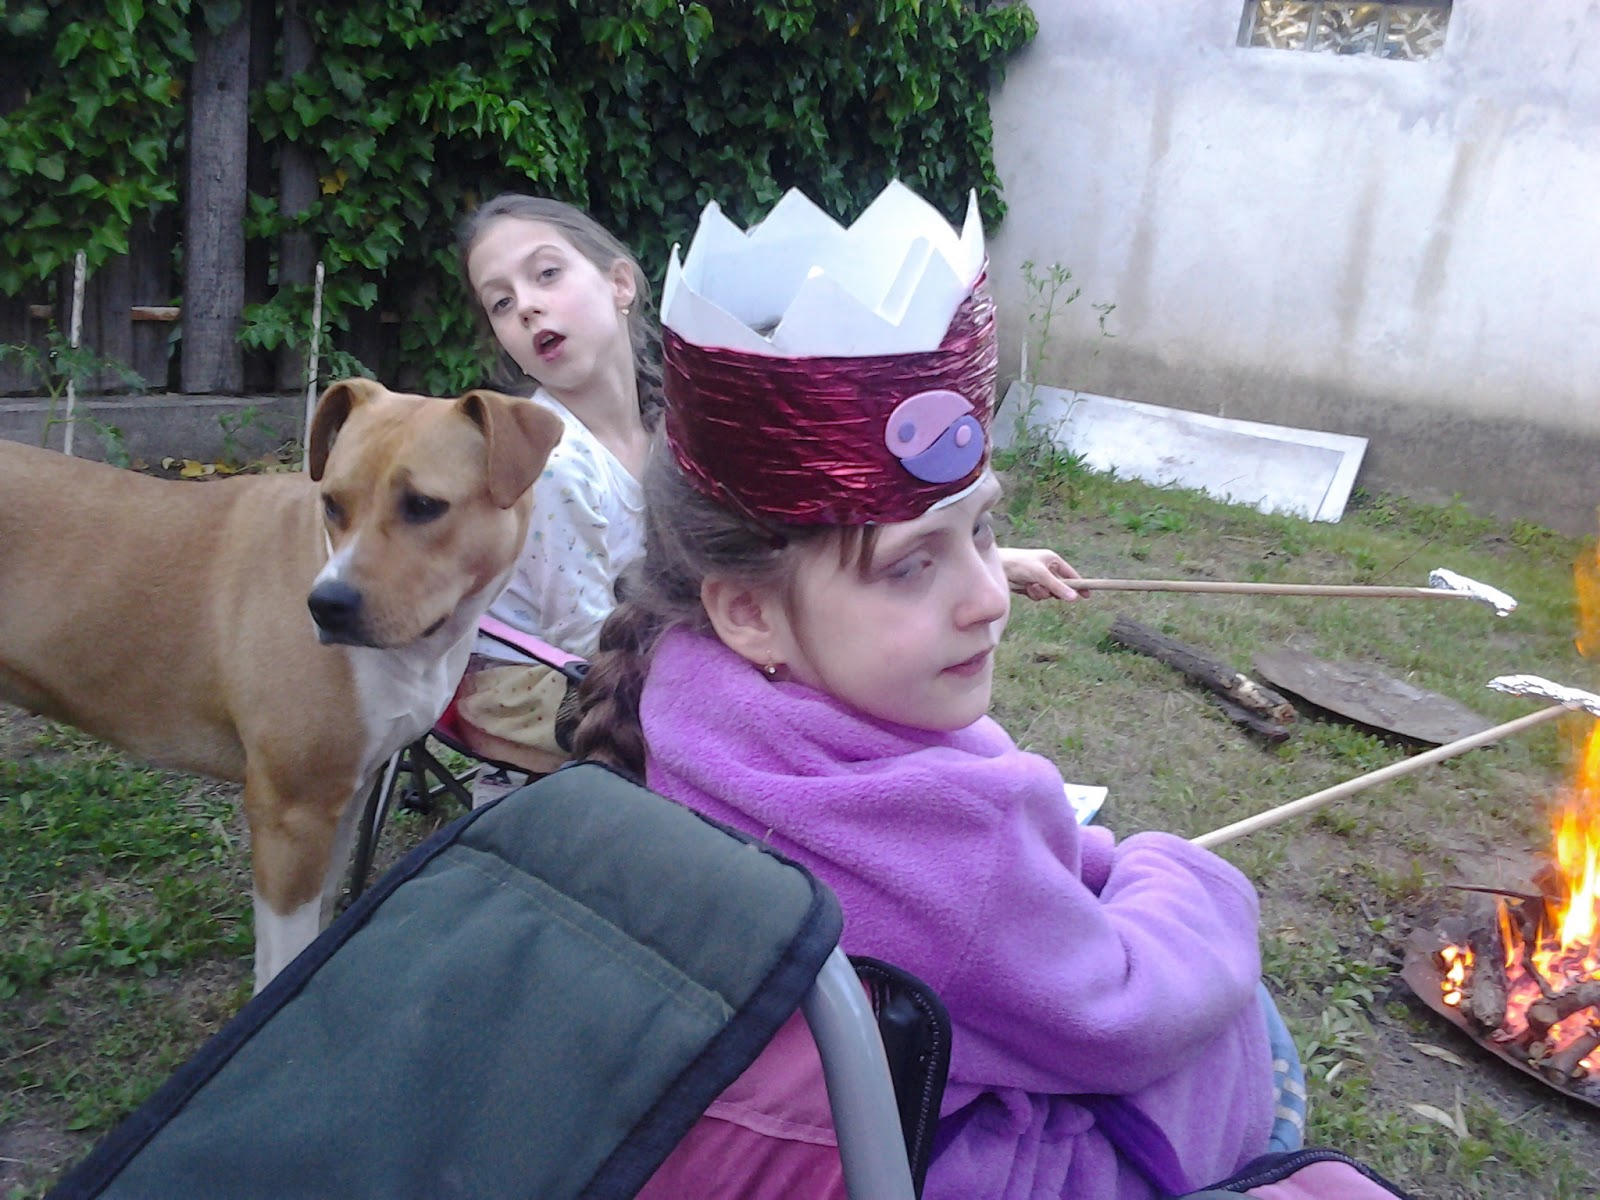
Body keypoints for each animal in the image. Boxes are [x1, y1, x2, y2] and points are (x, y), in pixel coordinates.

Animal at [0, 378, 563, 990]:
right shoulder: (292, 812)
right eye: (332, 503)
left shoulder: (348, 793)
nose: (326, 605)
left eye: (424, 506)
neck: (419, 650)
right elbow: (284, 954)